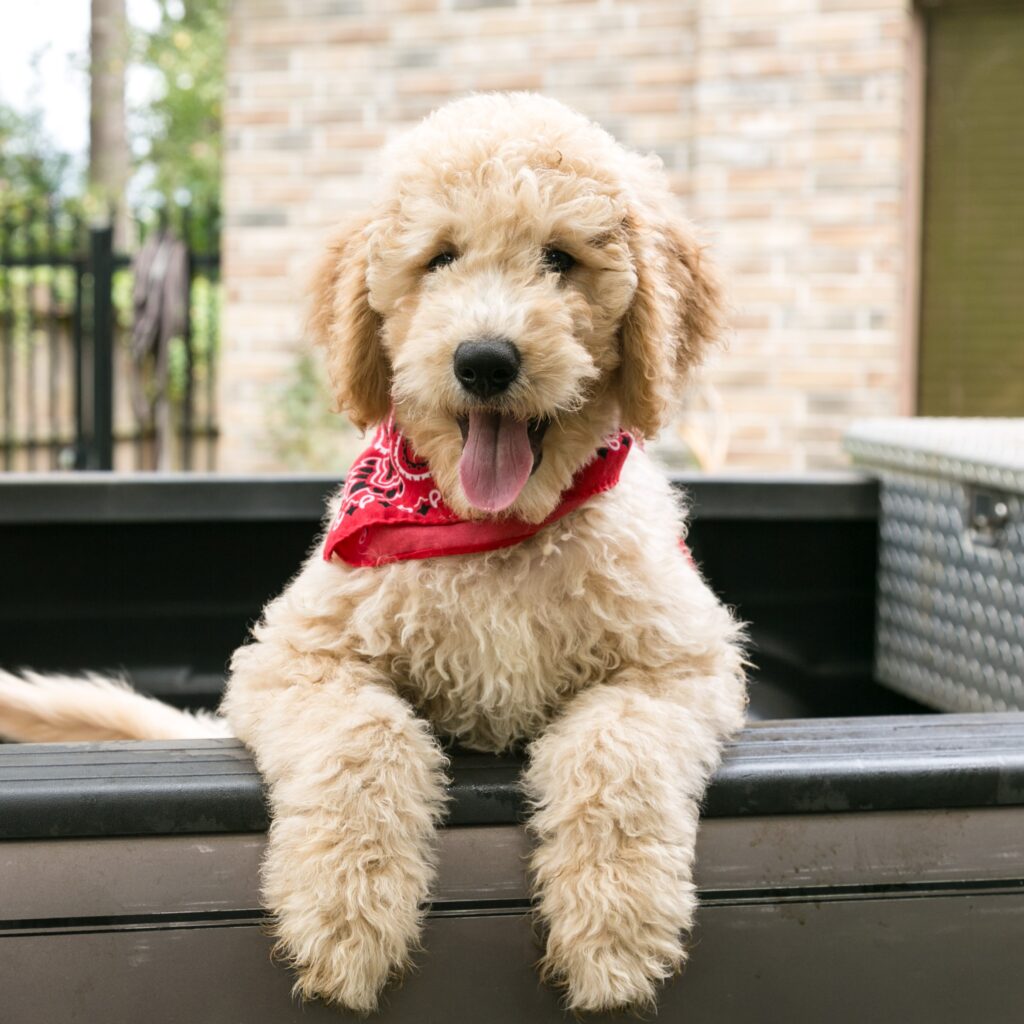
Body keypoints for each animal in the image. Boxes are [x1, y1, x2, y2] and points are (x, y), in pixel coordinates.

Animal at [0, 94, 745, 1015]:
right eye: (441, 257)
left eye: (560, 258)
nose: (485, 360)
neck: (493, 530)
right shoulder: (294, 658)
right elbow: (366, 738)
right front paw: (343, 919)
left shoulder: (680, 663)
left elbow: (618, 747)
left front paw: (615, 928)